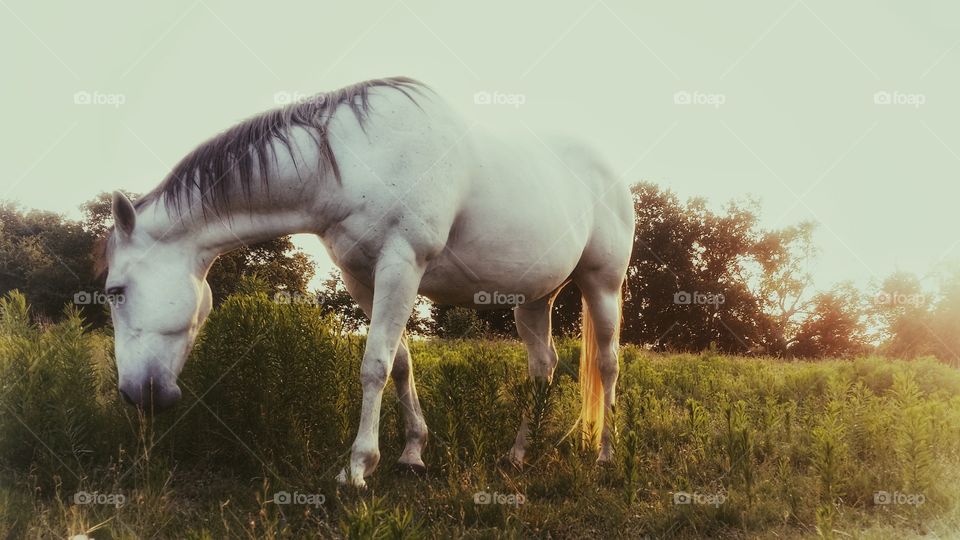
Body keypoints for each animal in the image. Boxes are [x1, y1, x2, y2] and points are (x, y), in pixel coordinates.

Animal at [95, 77, 635, 487]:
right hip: (534, 297)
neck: (354, 161)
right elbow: (399, 363)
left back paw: (606, 455)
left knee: (607, 364)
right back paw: (519, 454)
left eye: (116, 292)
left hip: (602, 284)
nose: (137, 395)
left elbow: (374, 364)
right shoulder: (362, 278)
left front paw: (358, 467)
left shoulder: (402, 264)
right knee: (542, 367)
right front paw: (412, 453)